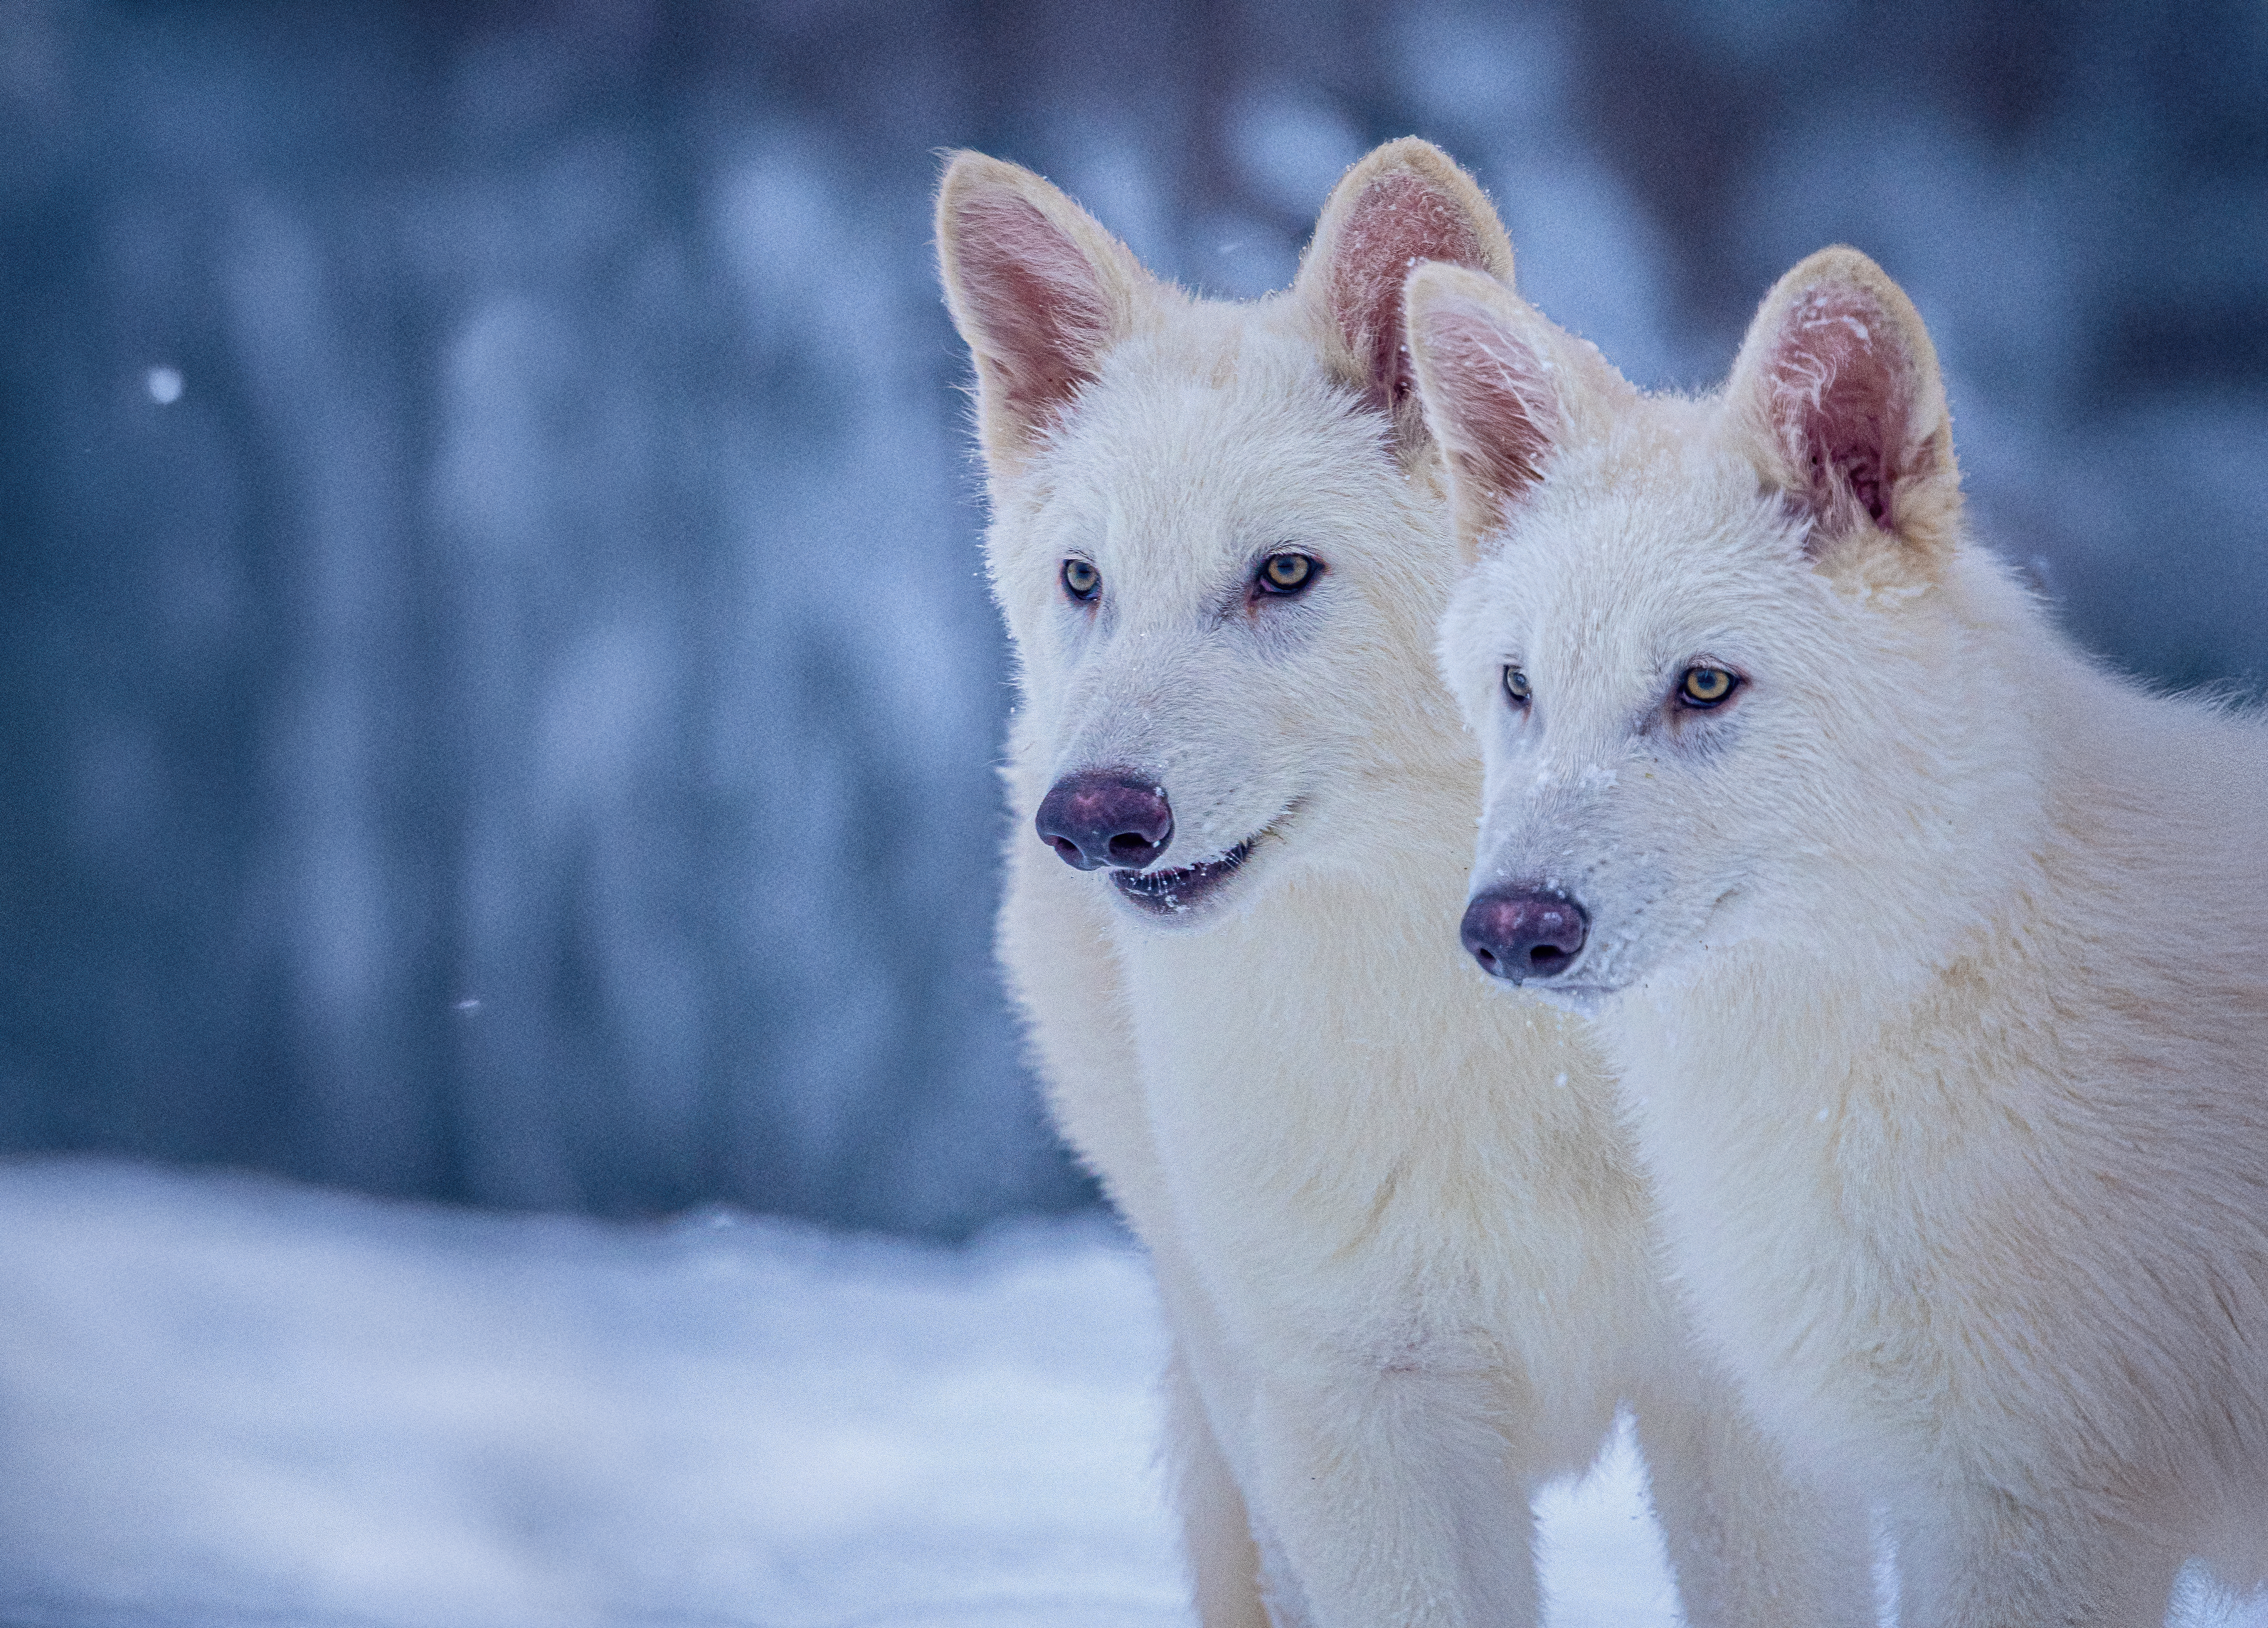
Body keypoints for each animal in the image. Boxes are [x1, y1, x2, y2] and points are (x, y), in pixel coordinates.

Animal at [934, 139, 1870, 1627]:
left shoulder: (1741, 1415)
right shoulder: (1358, 1426)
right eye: (1084, 580)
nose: (1090, 821)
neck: (1491, 1044)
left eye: (1281, 573)